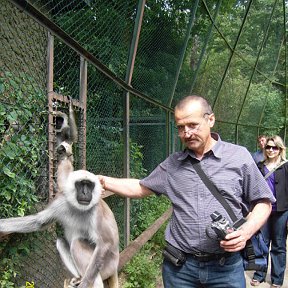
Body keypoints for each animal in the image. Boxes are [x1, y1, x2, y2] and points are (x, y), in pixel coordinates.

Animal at [0, 142, 119, 288]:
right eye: (81, 185)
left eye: (89, 186)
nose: (85, 193)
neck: (78, 208)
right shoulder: (62, 202)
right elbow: (39, 222)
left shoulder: (96, 212)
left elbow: (105, 243)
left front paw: (85, 283)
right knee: (61, 242)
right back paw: (79, 277)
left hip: (108, 266)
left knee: (78, 243)